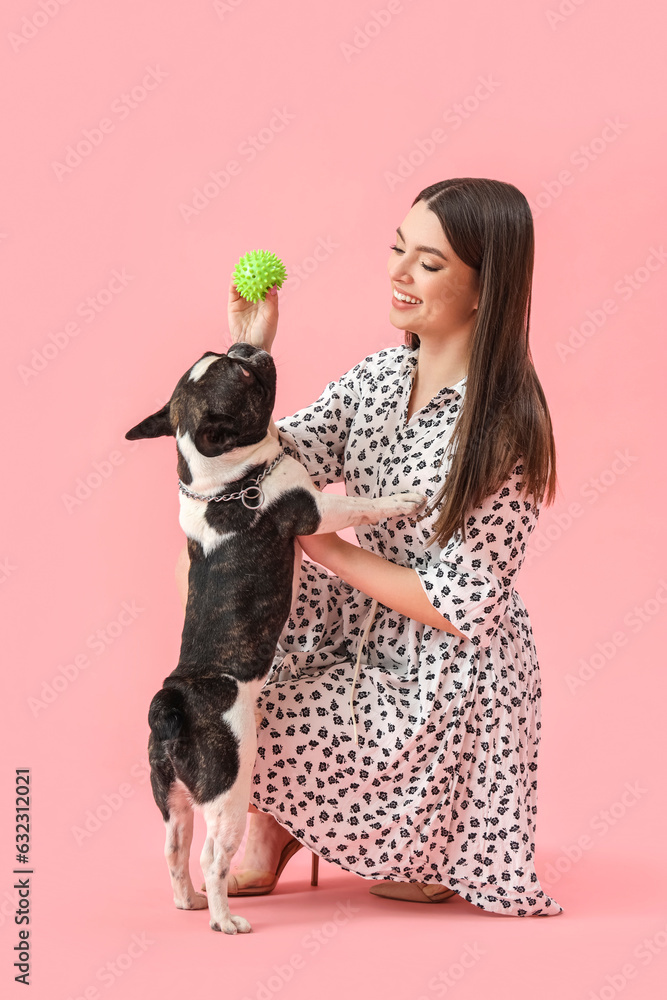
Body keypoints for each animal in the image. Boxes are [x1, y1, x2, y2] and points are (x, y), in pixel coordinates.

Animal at [126, 346, 422, 936]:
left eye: (222, 354)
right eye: (242, 376)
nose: (251, 349)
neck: (221, 479)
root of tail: (174, 699)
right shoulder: (314, 509)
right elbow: (362, 505)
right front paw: (405, 499)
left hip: (169, 791)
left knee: (174, 847)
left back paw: (188, 903)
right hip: (228, 789)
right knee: (212, 856)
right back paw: (224, 920)